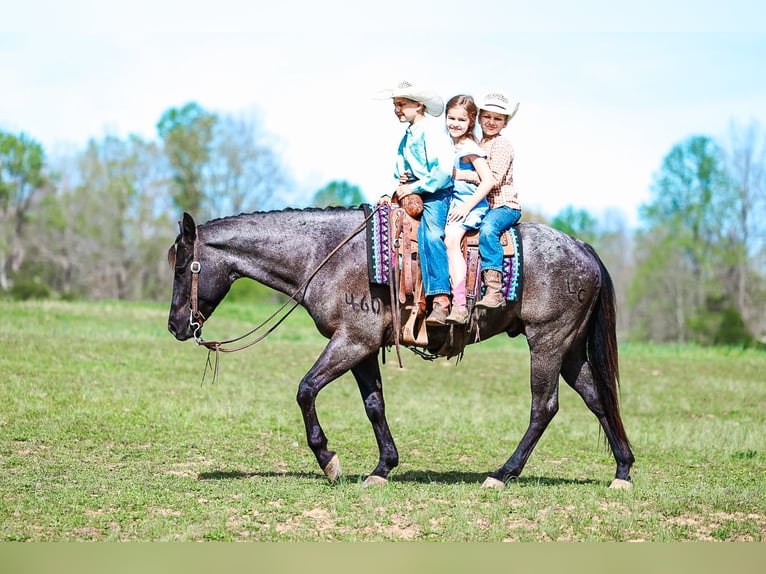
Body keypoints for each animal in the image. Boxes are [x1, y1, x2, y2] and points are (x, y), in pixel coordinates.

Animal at [166, 207, 635, 489]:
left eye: (183, 267)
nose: (175, 326)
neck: (325, 255)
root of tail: (583, 249)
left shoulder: (352, 340)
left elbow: (305, 390)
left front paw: (328, 460)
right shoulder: (363, 347)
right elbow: (375, 405)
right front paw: (382, 468)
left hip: (547, 342)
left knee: (544, 407)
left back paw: (503, 474)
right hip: (569, 350)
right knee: (597, 399)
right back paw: (623, 470)